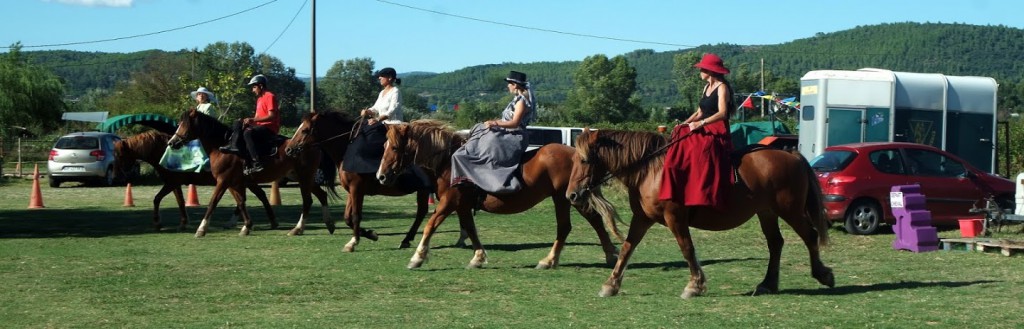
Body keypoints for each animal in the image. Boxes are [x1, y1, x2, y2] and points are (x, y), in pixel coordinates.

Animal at [113, 130, 276, 230]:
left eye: (119, 155)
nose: (118, 175)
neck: (164, 152)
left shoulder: (171, 183)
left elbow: (159, 199)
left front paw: (159, 223)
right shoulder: (174, 184)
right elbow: (177, 201)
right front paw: (181, 223)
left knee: (254, 197)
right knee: (257, 196)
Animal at [166, 108, 335, 236]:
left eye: (184, 125)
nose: (171, 142)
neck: (223, 147)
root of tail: (315, 145)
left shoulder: (223, 181)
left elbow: (213, 202)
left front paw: (201, 229)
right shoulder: (236, 182)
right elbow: (241, 202)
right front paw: (246, 226)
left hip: (305, 177)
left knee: (308, 201)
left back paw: (298, 229)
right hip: (303, 178)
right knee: (321, 195)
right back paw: (329, 224)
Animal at [374, 120, 618, 268]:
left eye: (394, 148)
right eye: (383, 146)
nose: (381, 176)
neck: (448, 162)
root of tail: (575, 153)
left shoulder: (449, 202)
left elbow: (430, 225)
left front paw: (417, 257)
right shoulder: (462, 205)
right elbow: (470, 229)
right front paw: (478, 257)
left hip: (568, 198)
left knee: (583, 223)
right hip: (565, 198)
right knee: (578, 224)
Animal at [565, 128, 835, 297]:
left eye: (585, 160)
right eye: (575, 160)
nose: (572, 195)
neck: (652, 170)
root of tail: (790, 153)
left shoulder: (675, 218)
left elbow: (687, 248)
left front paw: (694, 286)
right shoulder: (642, 219)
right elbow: (627, 249)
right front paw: (610, 285)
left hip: (790, 210)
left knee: (810, 236)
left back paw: (823, 275)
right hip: (767, 212)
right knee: (776, 243)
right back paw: (767, 283)